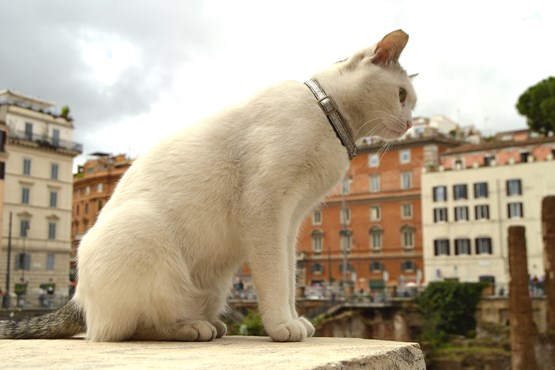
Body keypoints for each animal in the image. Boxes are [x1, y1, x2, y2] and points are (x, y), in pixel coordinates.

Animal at [0, 28, 416, 342]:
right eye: (402, 96)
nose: (411, 122)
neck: (328, 114)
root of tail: (79, 298)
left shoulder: (291, 221)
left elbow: (288, 276)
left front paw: (294, 319)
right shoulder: (266, 210)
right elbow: (274, 279)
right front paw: (281, 326)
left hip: (215, 281)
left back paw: (209, 324)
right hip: (145, 238)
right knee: (125, 329)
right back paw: (191, 328)